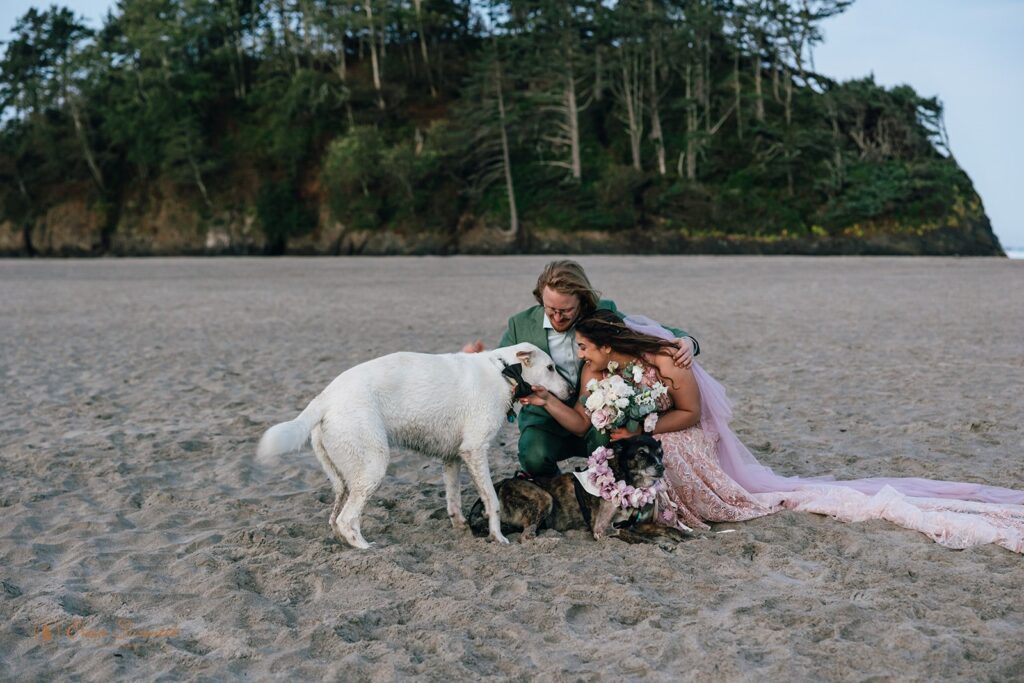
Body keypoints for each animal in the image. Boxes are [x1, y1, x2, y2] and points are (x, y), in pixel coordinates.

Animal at [256, 344, 573, 548]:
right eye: (550, 368)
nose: (572, 392)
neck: (504, 371)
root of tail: (324, 398)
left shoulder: (453, 458)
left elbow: (453, 500)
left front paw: (461, 527)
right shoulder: (475, 450)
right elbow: (492, 501)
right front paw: (498, 537)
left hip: (343, 478)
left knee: (335, 518)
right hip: (372, 466)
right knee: (347, 519)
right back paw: (366, 548)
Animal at [468, 438, 679, 544]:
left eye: (660, 453)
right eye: (641, 453)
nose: (661, 468)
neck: (627, 481)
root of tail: (499, 484)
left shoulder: (639, 524)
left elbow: (667, 529)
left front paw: (681, 536)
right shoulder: (602, 529)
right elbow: (638, 538)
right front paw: (662, 544)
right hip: (544, 497)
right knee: (526, 536)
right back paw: (552, 539)